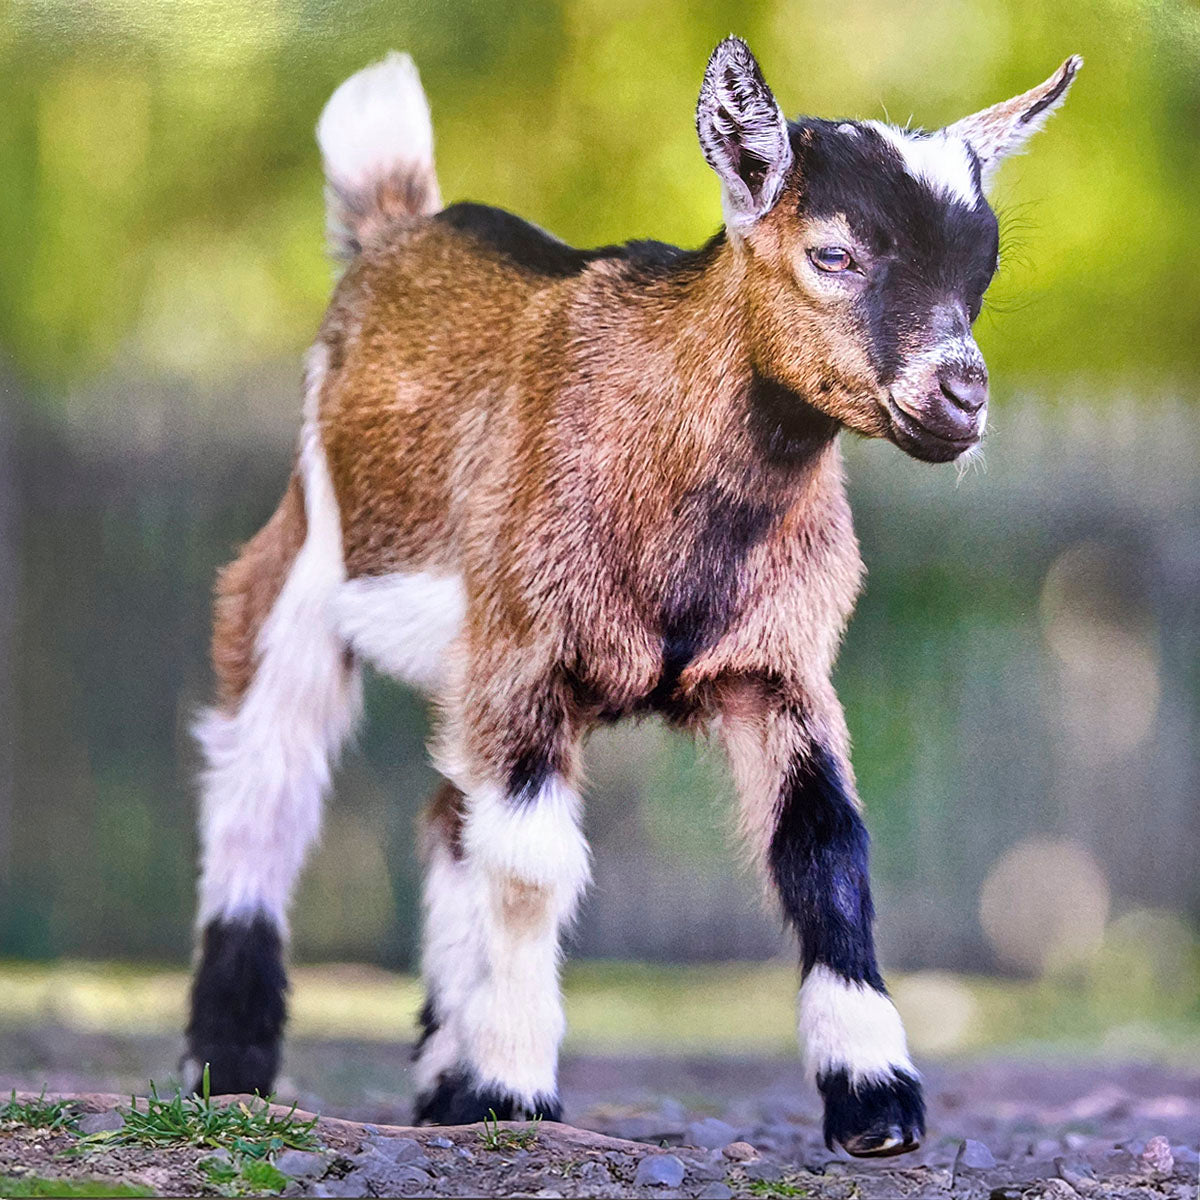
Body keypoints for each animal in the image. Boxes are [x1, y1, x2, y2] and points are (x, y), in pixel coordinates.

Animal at [184, 38, 1080, 1156]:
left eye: (980, 272)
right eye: (834, 255)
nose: (961, 397)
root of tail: (393, 225)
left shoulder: (777, 668)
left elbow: (827, 850)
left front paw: (877, 1099)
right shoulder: (527, 649)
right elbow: (533, 866)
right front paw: (515, 1089)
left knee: (445, 813)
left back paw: (440, 1078)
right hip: (303, 567)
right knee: (264, 785)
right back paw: (230, 1071)